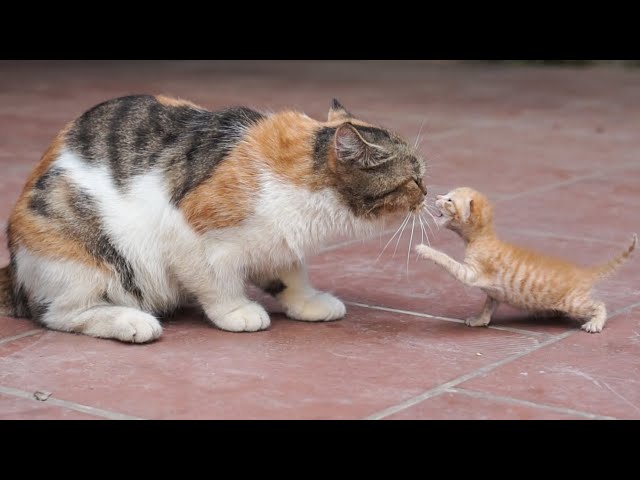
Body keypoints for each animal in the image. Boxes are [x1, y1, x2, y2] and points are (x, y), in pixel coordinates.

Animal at [2, 94, 428, 342]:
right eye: (415, 178)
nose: (429, 194)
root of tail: (16, 270)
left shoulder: (280, 240)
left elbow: (290, 273)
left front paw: (308, 302)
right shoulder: (187, 233)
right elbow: (216, 281)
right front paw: (237, 311)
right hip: (78, 247)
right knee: (59, 314)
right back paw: (132, 322)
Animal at [416, 188, 636, 334]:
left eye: (449, 200)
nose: (436, 197)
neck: (481, 237)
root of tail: (583, 273)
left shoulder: (471, 273)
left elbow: (447, 260)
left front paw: (425, 250)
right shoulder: (494, 291)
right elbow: (489, 304)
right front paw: (481, 320)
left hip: (573, 302)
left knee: (599, 304)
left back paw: (595, 323)